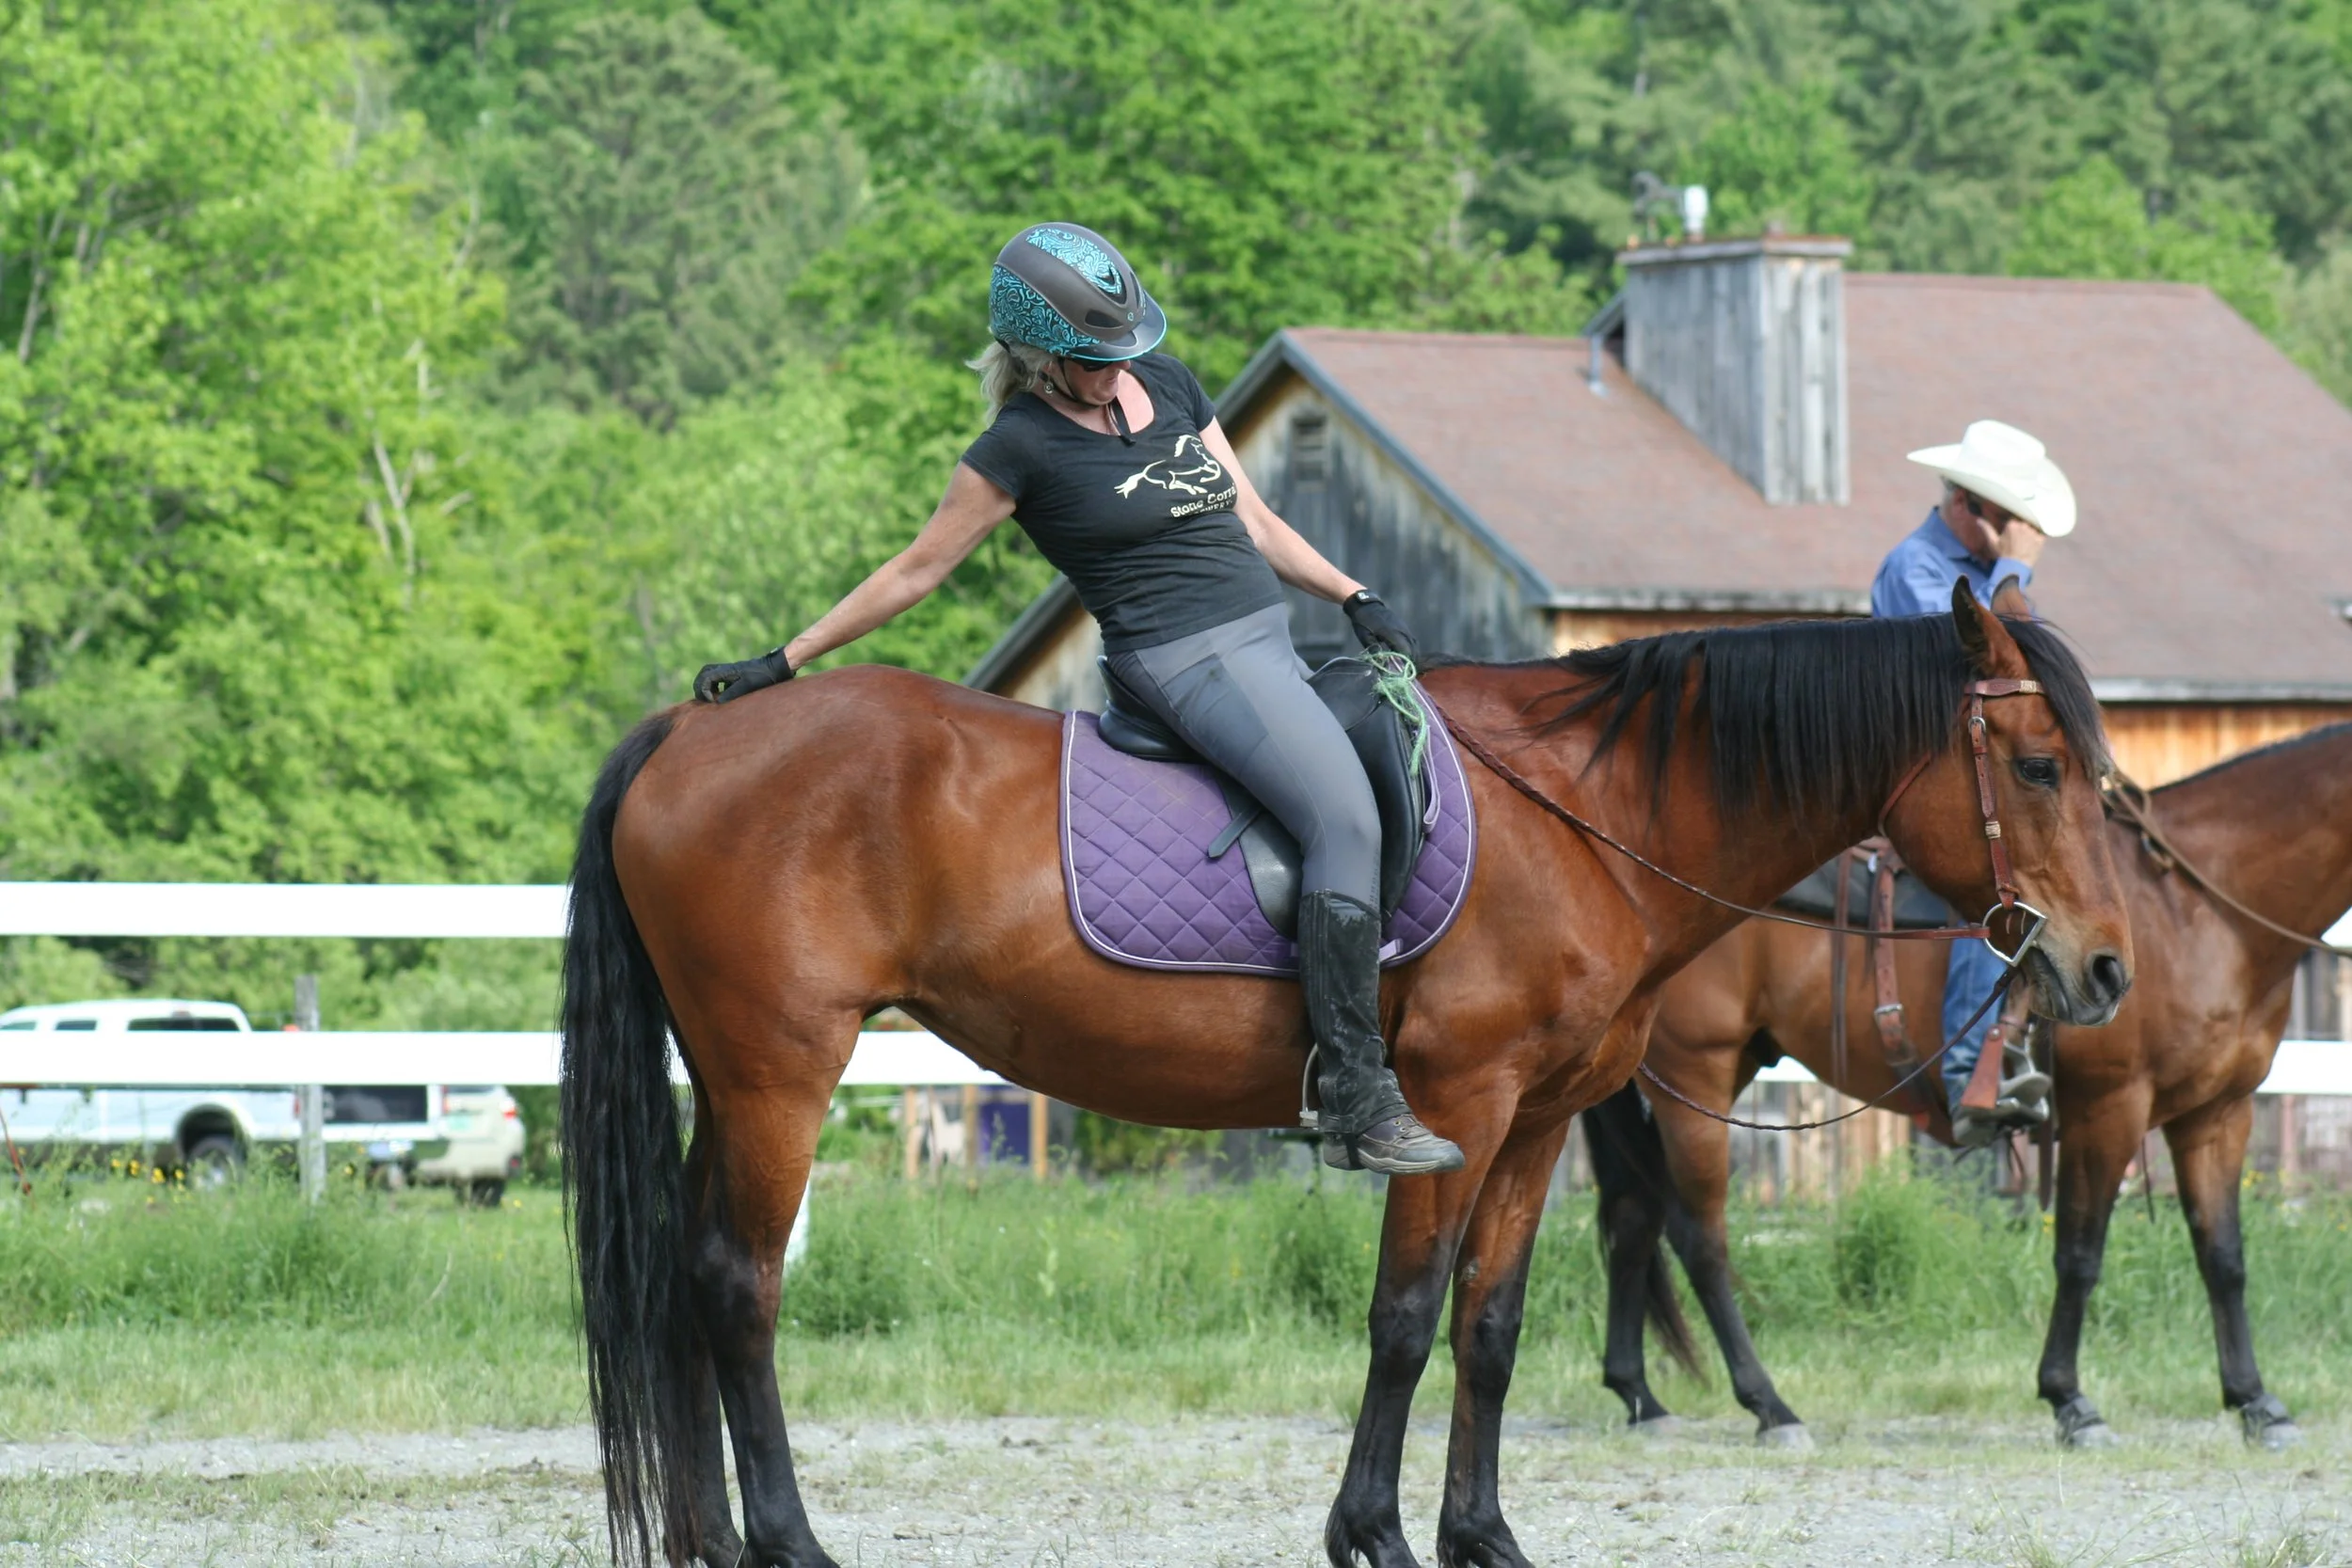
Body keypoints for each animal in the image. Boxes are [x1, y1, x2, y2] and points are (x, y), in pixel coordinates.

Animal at [557, 586, 2132, 1568]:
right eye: (2039, 765)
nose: (2109, 969)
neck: (1587, 816)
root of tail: (692, 727)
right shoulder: (1456, 1104)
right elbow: (1404, 1319)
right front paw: (1371, 1529)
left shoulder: (1540, 1120)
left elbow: (1489, 1327)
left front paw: (1483, 1532)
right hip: (781, 1070)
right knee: (739, 1284)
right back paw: (787, 1536)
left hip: (731, 1077)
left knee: (685, 1279)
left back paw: (710, 1535)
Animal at [1583, 720, 2352, 1452]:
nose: (2107, 975)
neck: (2195, 910)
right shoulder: (2110, 1107)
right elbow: (2080, 1255)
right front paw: (2071, 1402)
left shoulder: (2217, 1113)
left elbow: (2224, 1258)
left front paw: (2257, 1402)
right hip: (1699, 1074)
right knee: (1699, 1236)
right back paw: (1769, 1406)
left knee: (1634, 1216)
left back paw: (1641, 1399)